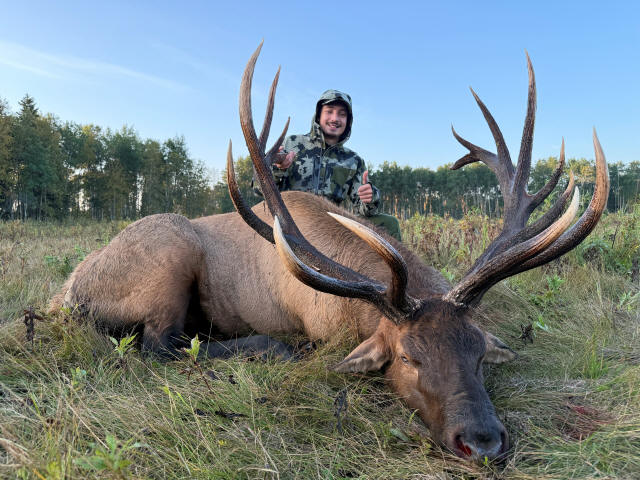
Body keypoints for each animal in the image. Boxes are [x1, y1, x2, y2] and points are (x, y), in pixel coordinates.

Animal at [49, 43, 609, 461]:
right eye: (408, 357)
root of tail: (65, 294)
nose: (483, 441)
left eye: (478, 353)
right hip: (170, 250)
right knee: (159, 344)